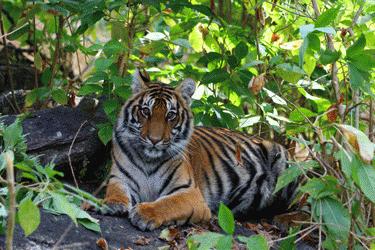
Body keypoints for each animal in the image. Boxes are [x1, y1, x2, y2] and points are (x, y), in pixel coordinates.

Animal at [104, 68, 298, 230]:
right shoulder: (119, 178)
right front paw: (112, 203)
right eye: (145, 111)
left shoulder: (190, 193)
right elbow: (115, 191)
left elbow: (167, 204)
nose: (154, 140)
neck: (148, 159)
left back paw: (287, 220)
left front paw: (144, 213)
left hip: (287, 167)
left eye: (171, 115)